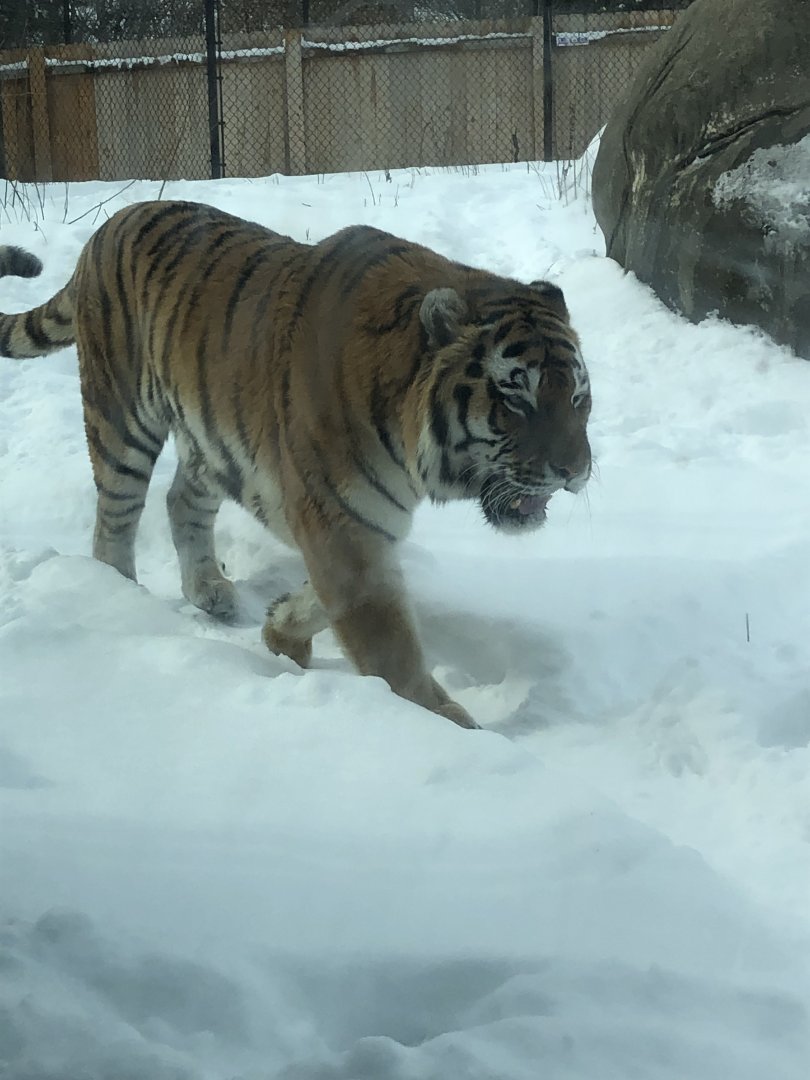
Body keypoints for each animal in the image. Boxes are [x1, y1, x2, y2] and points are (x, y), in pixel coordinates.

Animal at [0, 200, 591, 729]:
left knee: (181, 500)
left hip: (208, 438)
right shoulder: (343, 527)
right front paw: (453, 733)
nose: (577, 472)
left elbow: (331, 602)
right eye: (517, 398)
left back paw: (209, 589)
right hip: (121, 417)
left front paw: (280, 632)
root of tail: (110, 223)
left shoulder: (355, 529)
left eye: (578, 398)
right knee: (114, 520)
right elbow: (391, 650)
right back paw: (119, 598)